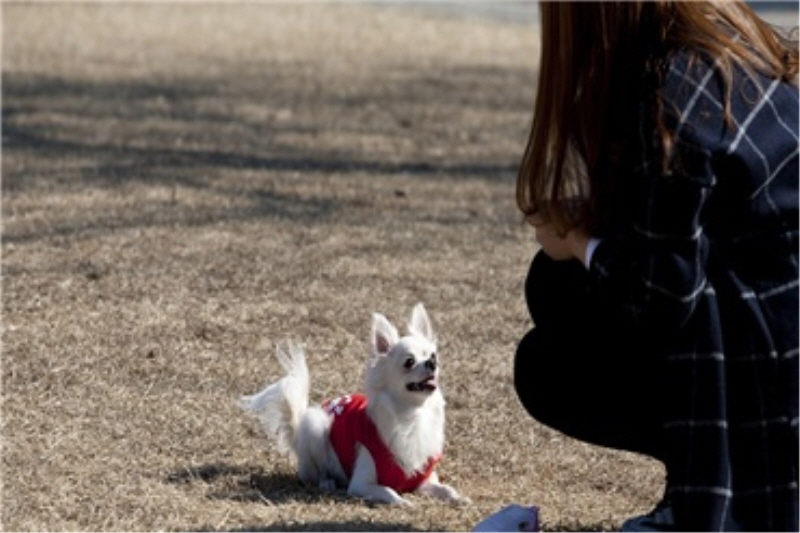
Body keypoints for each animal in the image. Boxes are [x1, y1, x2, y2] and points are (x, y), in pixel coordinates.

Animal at [238, 302, 466, 504]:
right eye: (409, 362)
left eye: (433, 355)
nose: (432, 363)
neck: (412, 415)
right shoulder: (360, 485)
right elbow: (389, 491)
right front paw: (403, 502)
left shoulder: (423, 480)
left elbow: (446, 489)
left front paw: (458, 498)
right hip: (316, 425)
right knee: (314, 474)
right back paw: (327, 482)